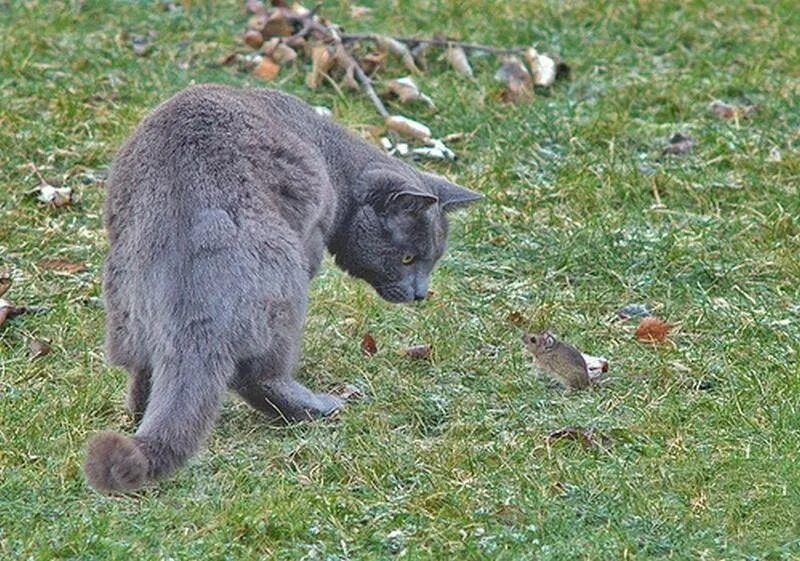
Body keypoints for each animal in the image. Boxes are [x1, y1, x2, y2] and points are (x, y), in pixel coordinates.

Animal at [83, 83, 478, 490]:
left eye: (432, 260)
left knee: (144, 369)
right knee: (257, 376)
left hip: (125, 306)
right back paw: (320, 407)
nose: (420, 293)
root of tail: (190, 316)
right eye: (408, 259)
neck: (329, 156)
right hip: (287, 287)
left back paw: (140, 413)